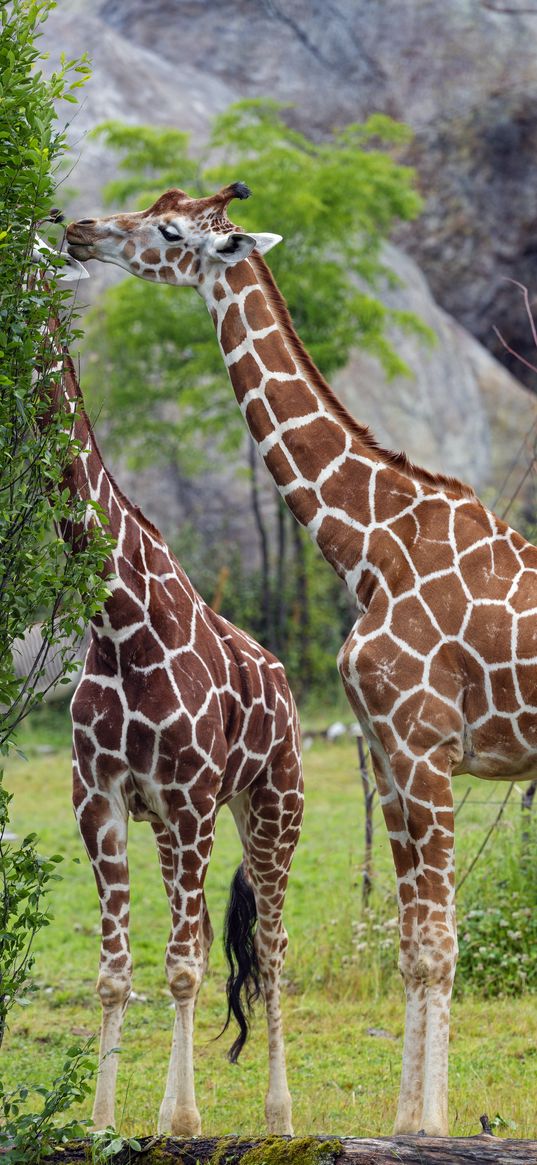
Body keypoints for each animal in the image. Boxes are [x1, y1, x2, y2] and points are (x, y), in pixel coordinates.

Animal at [34, 257, 300, 1137]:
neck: (118, 618)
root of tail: (281, 678)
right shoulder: (102, 800)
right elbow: (116, 971)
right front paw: (101, 1120)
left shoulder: (187, 800)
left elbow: (182, 967)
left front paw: (179, 1119)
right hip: (182, 828)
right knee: (221, 941)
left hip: (269, 805)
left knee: (271, 952)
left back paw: (279, 1114)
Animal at [65, 184, 535, 1137]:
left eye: (169, 229)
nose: (82, 230)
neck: (372, 547)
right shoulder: (390, 759)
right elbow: (412, 942)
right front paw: (404, 1123)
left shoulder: (425, 748)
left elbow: (438, 942)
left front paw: (430, 1124)